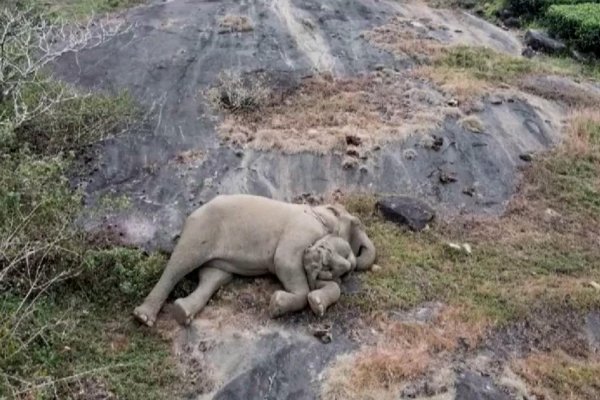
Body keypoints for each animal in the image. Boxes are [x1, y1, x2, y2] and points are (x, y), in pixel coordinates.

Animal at [133, 195, 376, 328]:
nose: (350, 266)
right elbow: (285, 261)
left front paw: (317, 300)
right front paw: (276, 305)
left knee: (213, 277)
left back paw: (182, 312)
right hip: (201, 229)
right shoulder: (301, 229)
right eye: (357, 223)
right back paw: (144, 317)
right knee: (181, 263)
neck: (317, 210)